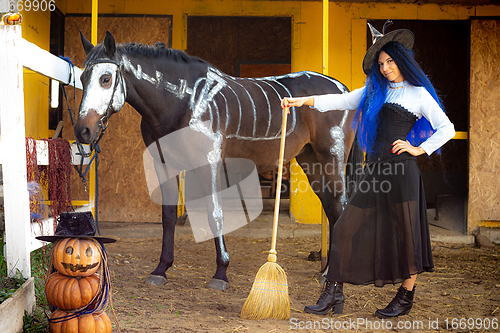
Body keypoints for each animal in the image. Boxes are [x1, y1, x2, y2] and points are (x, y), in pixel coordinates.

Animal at [74, 31, 358, 290]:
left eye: (106, 78)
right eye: (82, 78)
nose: (82, 131)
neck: (184, 101)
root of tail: (342, 89)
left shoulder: (207, 162)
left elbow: (214, 214)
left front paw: (221, 273)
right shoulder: (164, 164)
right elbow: (168, 216)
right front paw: (161, 269)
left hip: (331, 158)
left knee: (340, 207)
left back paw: (332, 275)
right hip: (312, 161)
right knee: (332, 209)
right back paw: (327, 272)